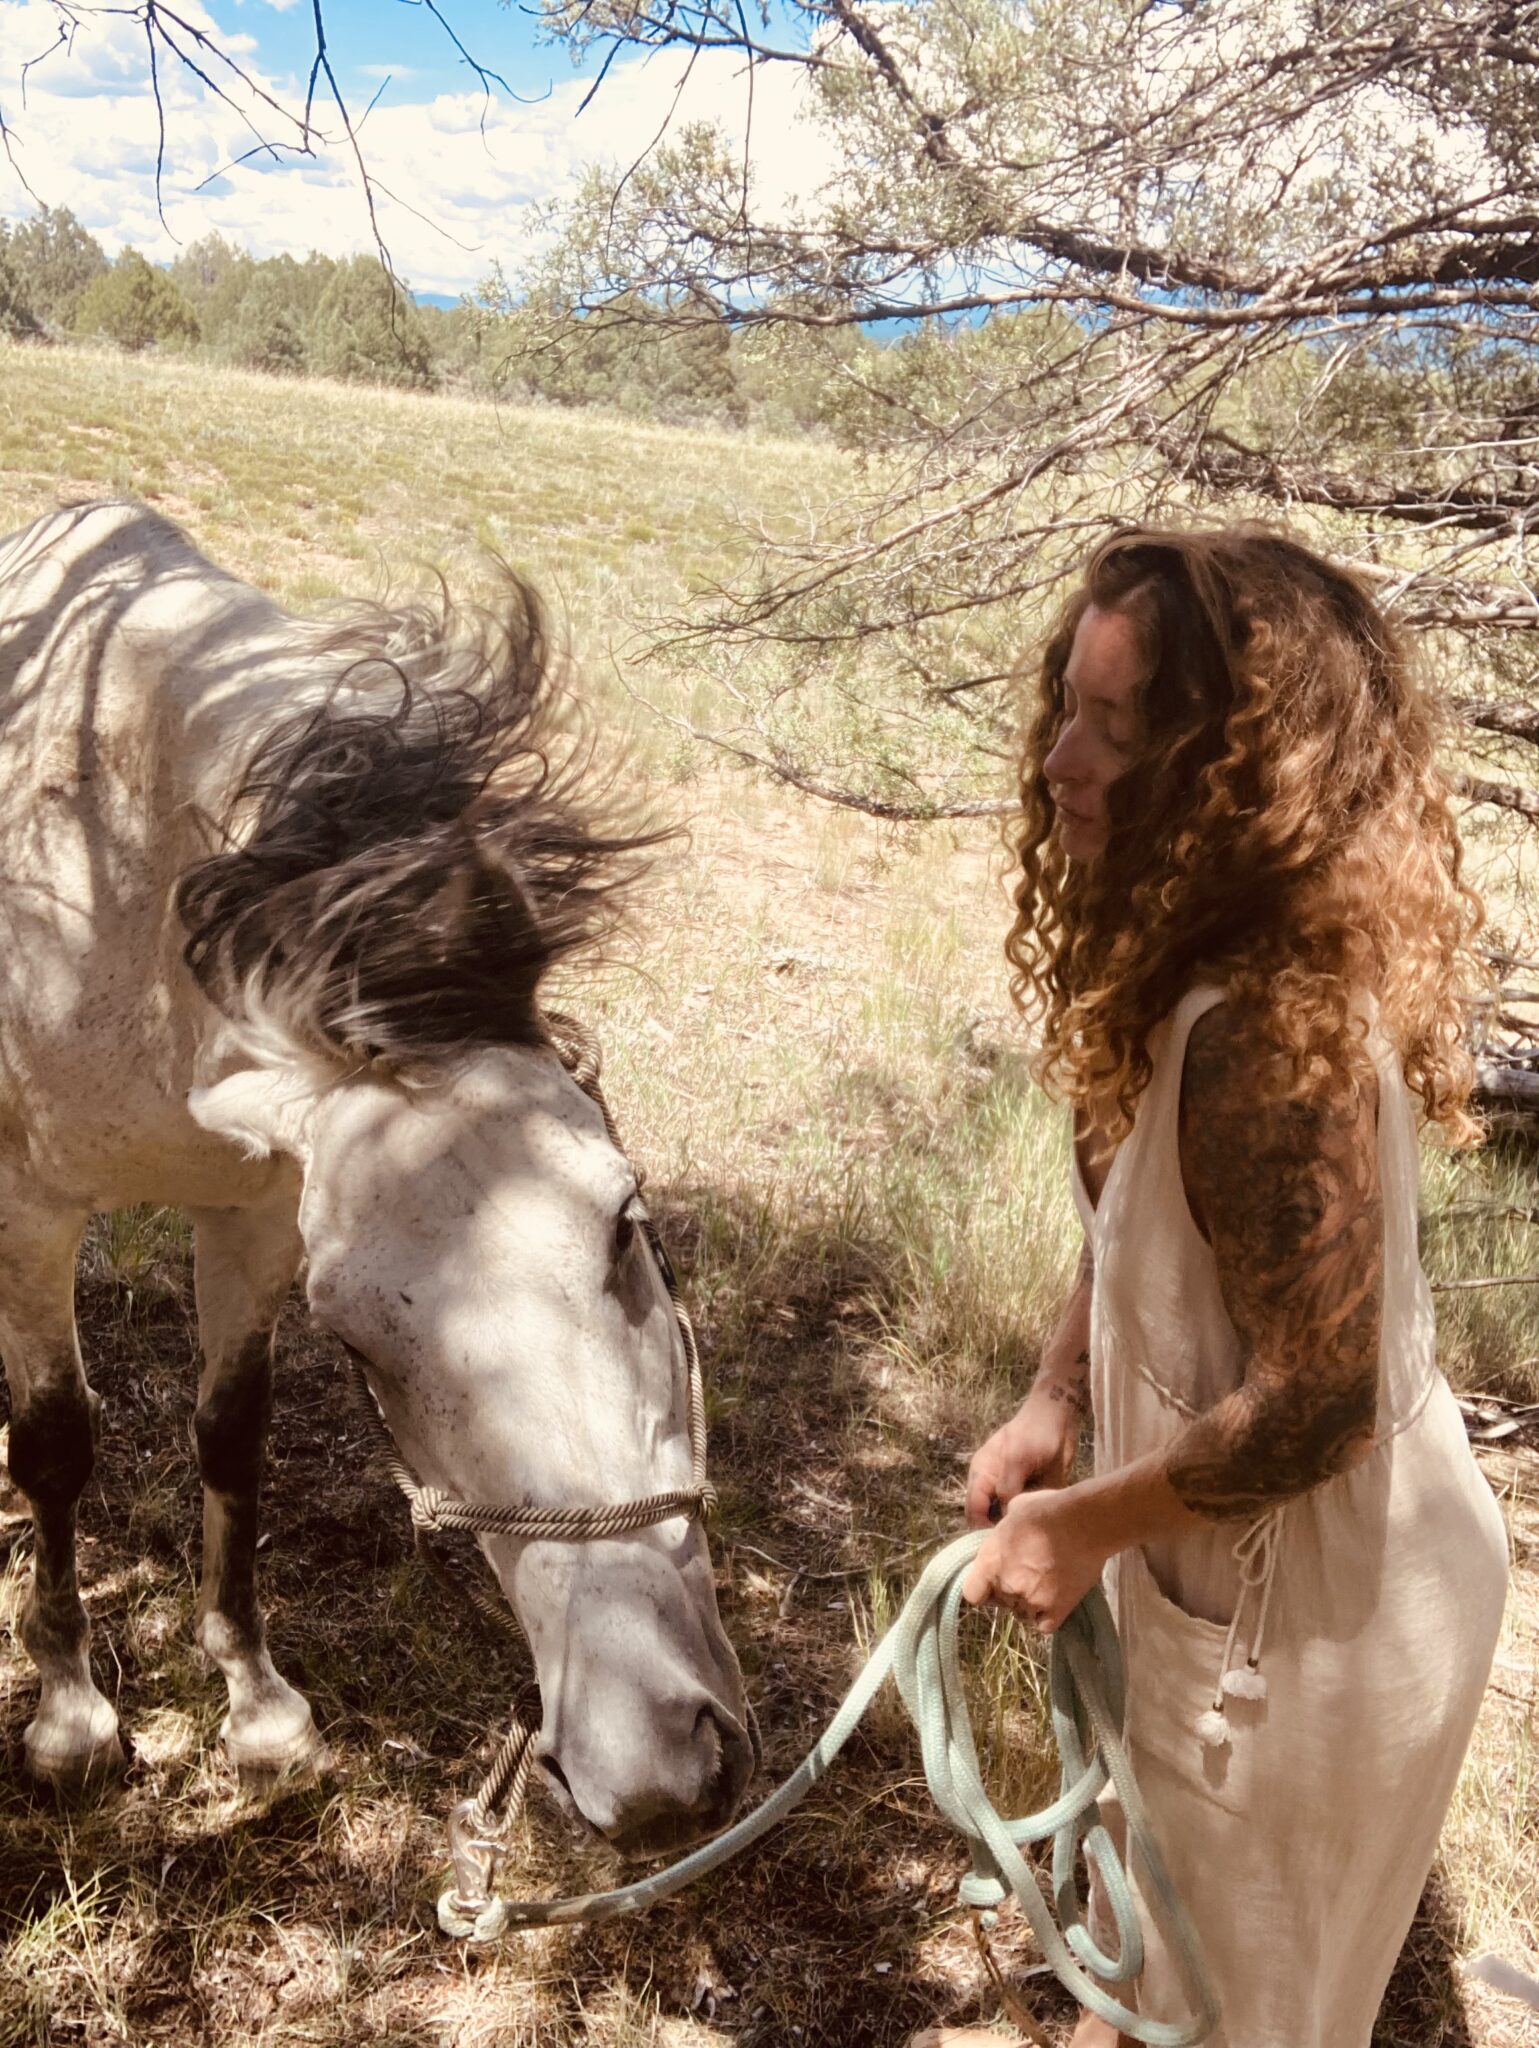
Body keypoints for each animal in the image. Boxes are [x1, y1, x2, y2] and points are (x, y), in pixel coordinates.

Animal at [0, 499, 754, 1859]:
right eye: (359, 1338)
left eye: (625, 1222)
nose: (659, 1768)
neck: (111, 886)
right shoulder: (32, 1214)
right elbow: (57, 1442)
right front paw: (71, 1714)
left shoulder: (251, 1207)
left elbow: (230, 1432)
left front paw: (257, 1708)